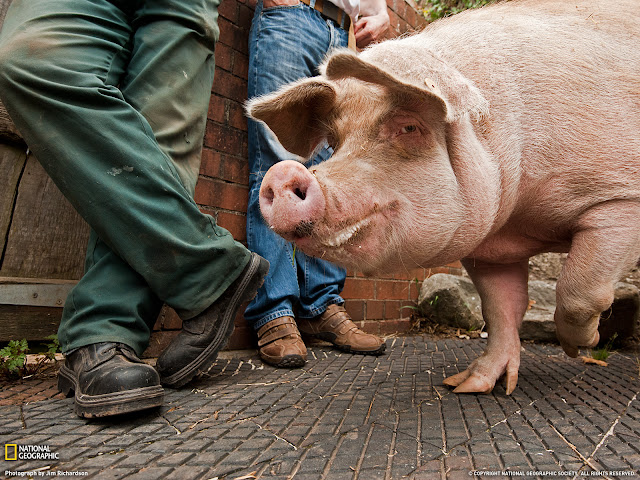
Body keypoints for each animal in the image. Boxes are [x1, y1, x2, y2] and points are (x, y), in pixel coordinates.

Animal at [245, 0, 640, 396]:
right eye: (333, 142)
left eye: (409, 127)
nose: (283, 173)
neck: (523, 220)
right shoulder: (489, 246)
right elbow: (501, 308)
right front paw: (466, 386)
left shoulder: (620, 199)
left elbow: (579, 289)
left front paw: (582, 346)